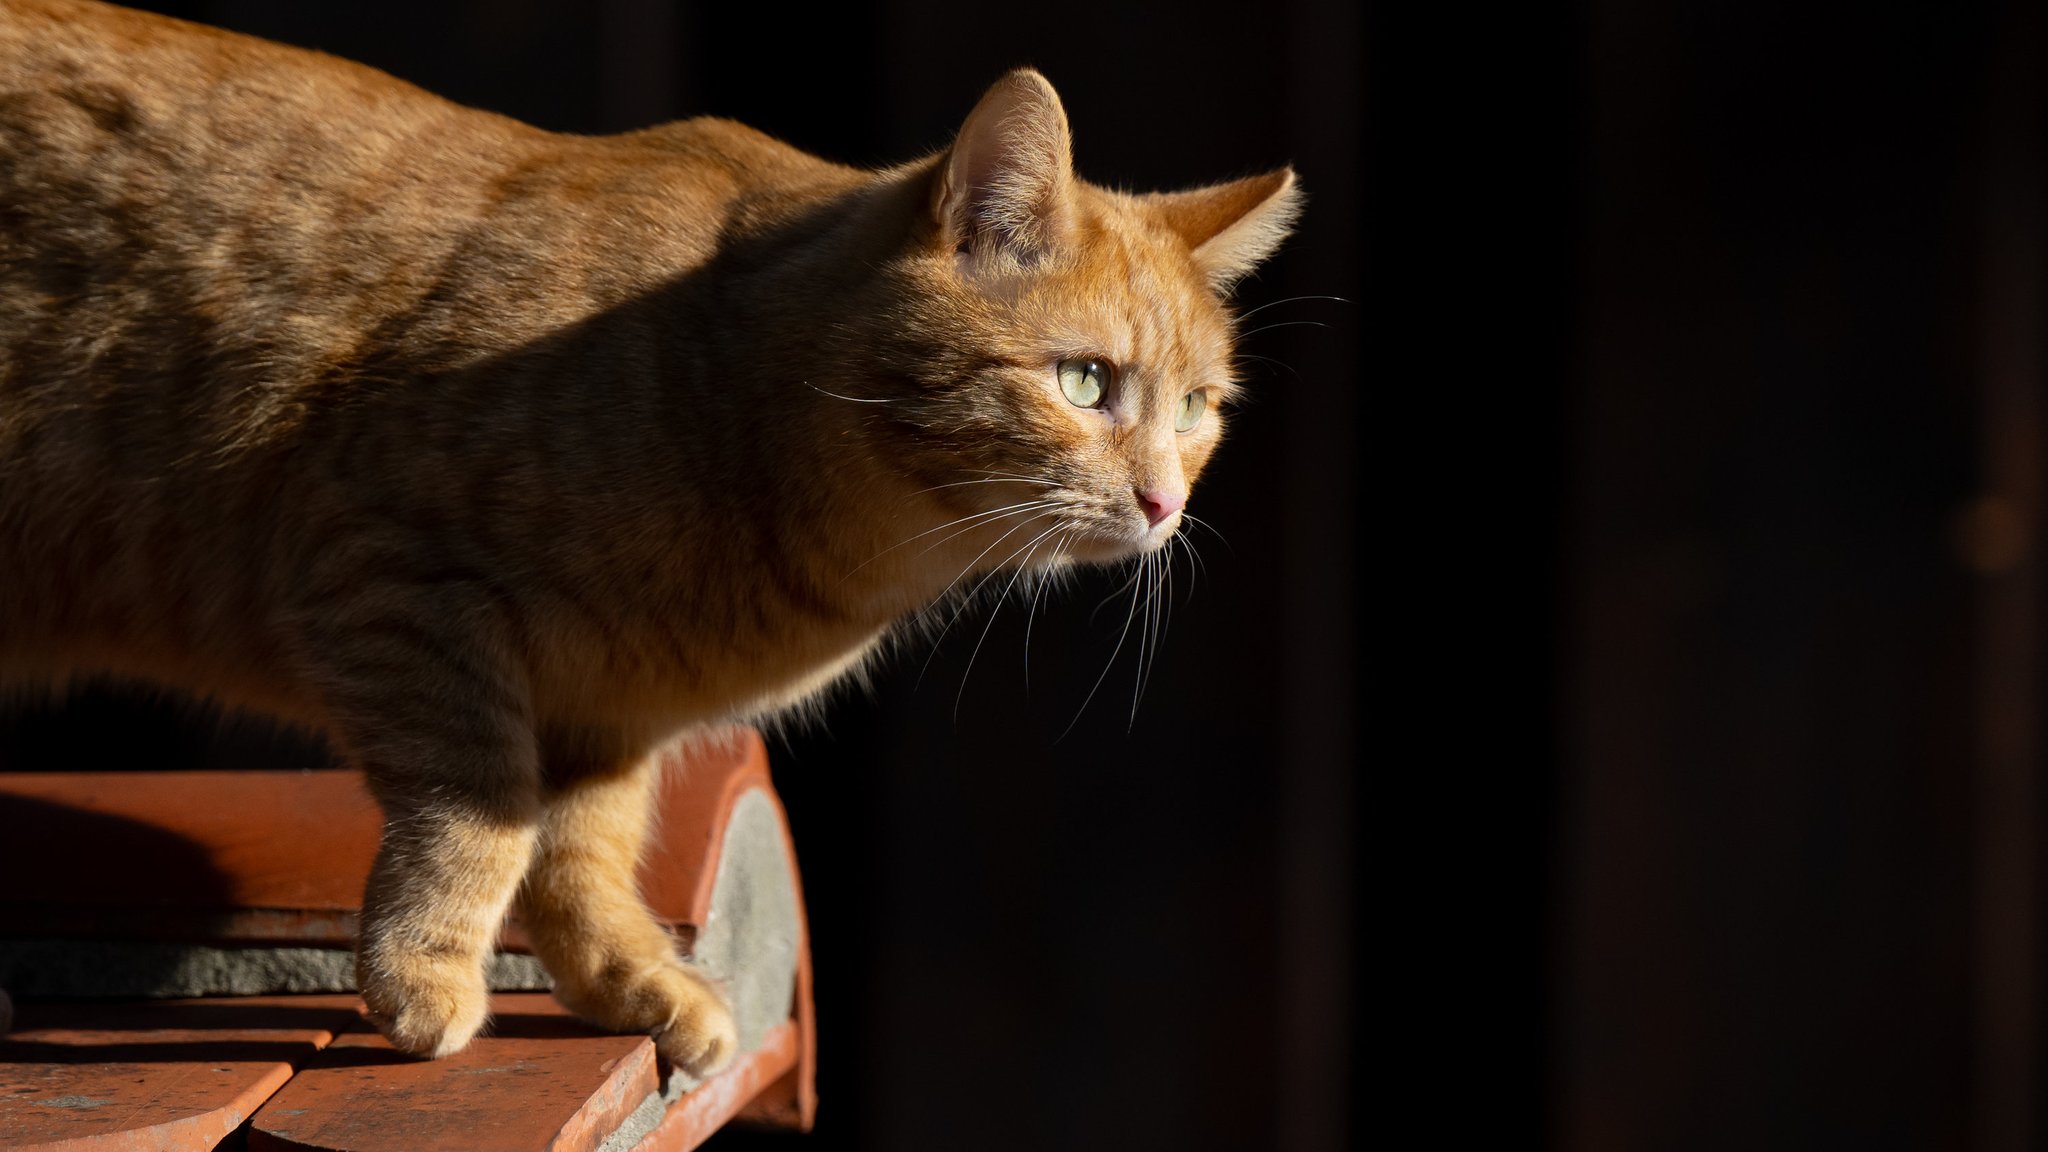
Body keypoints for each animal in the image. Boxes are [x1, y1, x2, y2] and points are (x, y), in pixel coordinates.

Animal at [0, 0, 1302, 1065]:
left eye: (1198, 408)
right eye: (1085, 383)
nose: (1164, 504)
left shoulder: (605, 708)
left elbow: (578, 853)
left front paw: (624, 980)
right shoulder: (386, 575)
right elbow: (480, 814)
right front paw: (426, 974)